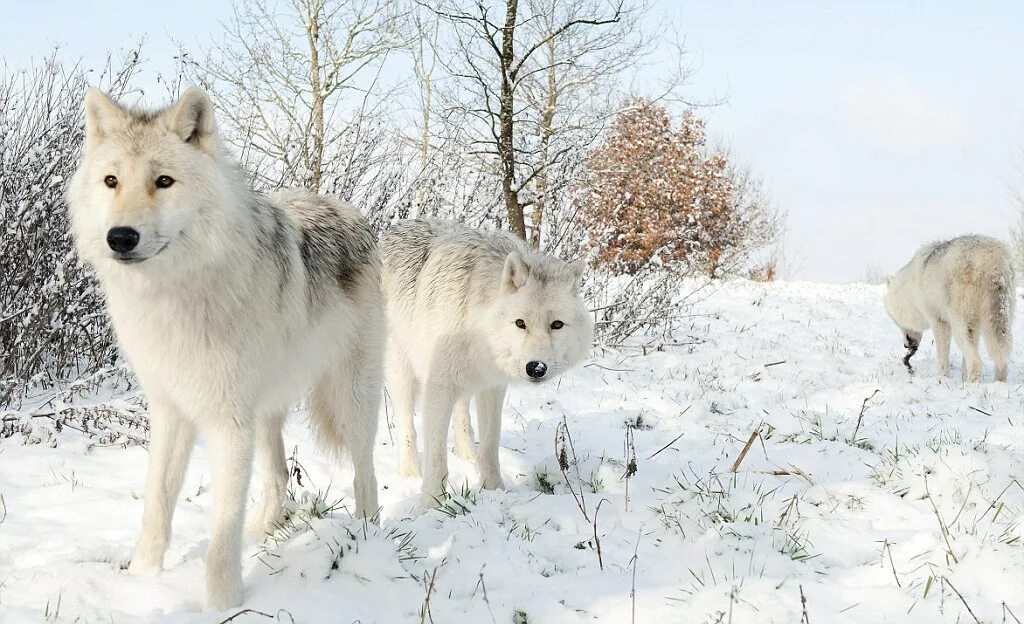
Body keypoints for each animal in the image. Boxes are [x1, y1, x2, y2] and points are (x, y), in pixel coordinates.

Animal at [67, 87, 385, 606]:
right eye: (111, 181)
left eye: (164, 181)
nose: (121, 238)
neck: (174, 296)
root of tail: (346, 208)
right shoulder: (170, 410)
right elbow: (157, 503)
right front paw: (141, 580)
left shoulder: (228, 422)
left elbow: (222, 528)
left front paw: (223, 604)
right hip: (267, 409)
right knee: (277, 476)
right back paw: (265, 530)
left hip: (351, 400)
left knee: (365, 472)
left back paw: (368, 536)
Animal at [382, 221, 593, 504]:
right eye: (520, 323)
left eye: (557, 325)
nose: (536, 368)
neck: (478, 326)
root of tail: (392, 230)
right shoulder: (438, 387)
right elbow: (436, 456)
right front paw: (432, 504)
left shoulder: (492, 388)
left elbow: (491, 444)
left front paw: (494, 491)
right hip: (402, 374)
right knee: (407, 426)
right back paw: (410, 474)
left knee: (462, 416)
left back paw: (468, 455)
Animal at [880, 233, 1015, 379]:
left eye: (895, 321)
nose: (906, 346)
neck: (910, 292)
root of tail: (992, 261)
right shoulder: (974, 326)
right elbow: (964, 362)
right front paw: (963, 380)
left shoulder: (939, 322)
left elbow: (943, 358)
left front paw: (942, 378)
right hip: (1001, 323)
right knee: (1001, 361)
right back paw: (997, 382)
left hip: (959, 324)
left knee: (976, 362)